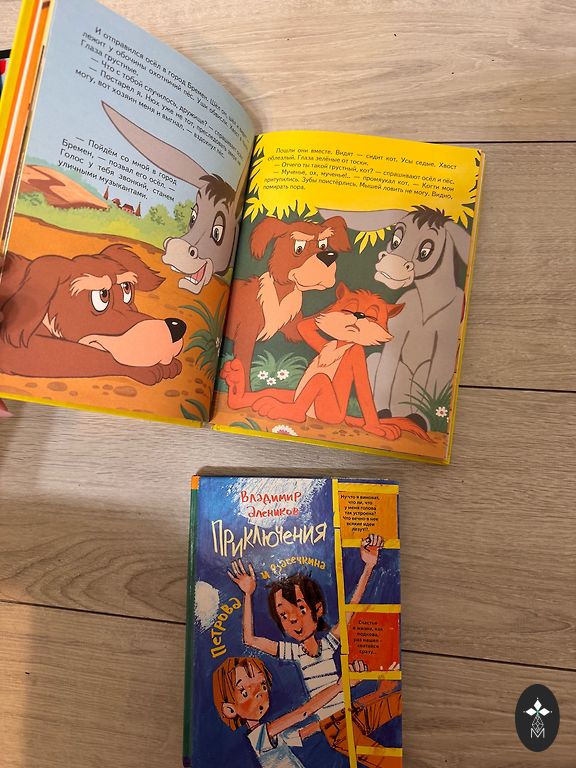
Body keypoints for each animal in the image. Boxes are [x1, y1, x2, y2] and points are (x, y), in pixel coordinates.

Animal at [0, 244, 186, 385]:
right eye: (102, 296)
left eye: (126, 289)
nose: (177, 327)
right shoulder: (19, 348)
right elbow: (91, 353)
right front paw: (150, 369)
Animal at [224, 215, 351, 389]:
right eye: (299, 247)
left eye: (323, 244)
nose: (329, 256)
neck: (282, 295)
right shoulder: (245, 333)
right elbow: (243, 362)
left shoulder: (293, 328)